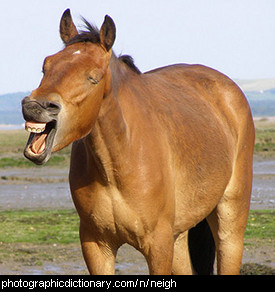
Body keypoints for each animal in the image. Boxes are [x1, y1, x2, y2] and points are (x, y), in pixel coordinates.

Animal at [21, 8, 254, 274]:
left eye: (93, 77)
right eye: (45, 67)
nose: (35, 106)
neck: (116, 164)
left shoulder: (158, 245)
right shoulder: (97, 245)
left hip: (229, 224)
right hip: (179, 236)